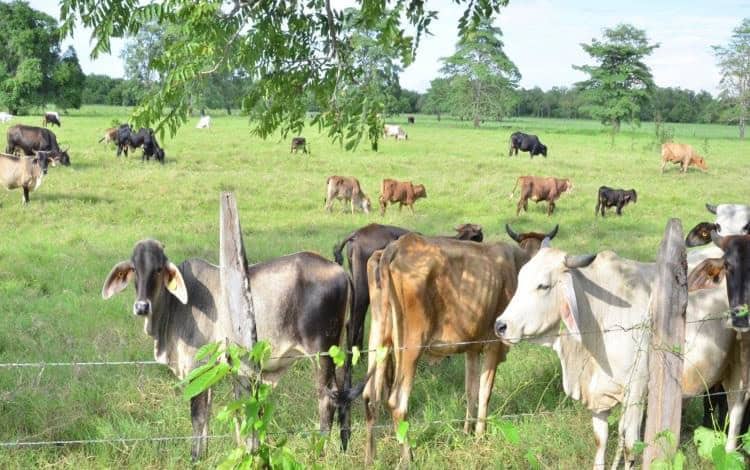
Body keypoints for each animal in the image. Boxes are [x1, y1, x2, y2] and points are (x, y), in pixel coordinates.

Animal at [102, 241, 358, 460]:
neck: (176, 306)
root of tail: (339, 270)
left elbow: (197, 417)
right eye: (134, 269)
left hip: (321, 352)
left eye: (158, 269)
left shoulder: (196, 366)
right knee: (342, 396)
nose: (141, 307)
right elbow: (206, 416)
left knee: (326, 398)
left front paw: (194, 458)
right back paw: (342, 447)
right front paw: (203, 455)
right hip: (339, 352)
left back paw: (319, 452)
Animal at [362, 228, 560, 462]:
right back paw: (408, 457)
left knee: (370, 396)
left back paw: (371, 458)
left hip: (379, 338)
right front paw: (480, 435)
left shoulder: (472, 347)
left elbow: (470, 391)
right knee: (397, 401)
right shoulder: (494, 344)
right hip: (411, 344)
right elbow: (484, 392)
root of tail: (397, 246)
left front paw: (467, 431)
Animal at [494, 244, 740, 468]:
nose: (500, 326)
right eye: (520, 279)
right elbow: (601, 440)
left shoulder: (636, 392)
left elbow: (630, 445)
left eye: (543, 286)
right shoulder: (598, 393)